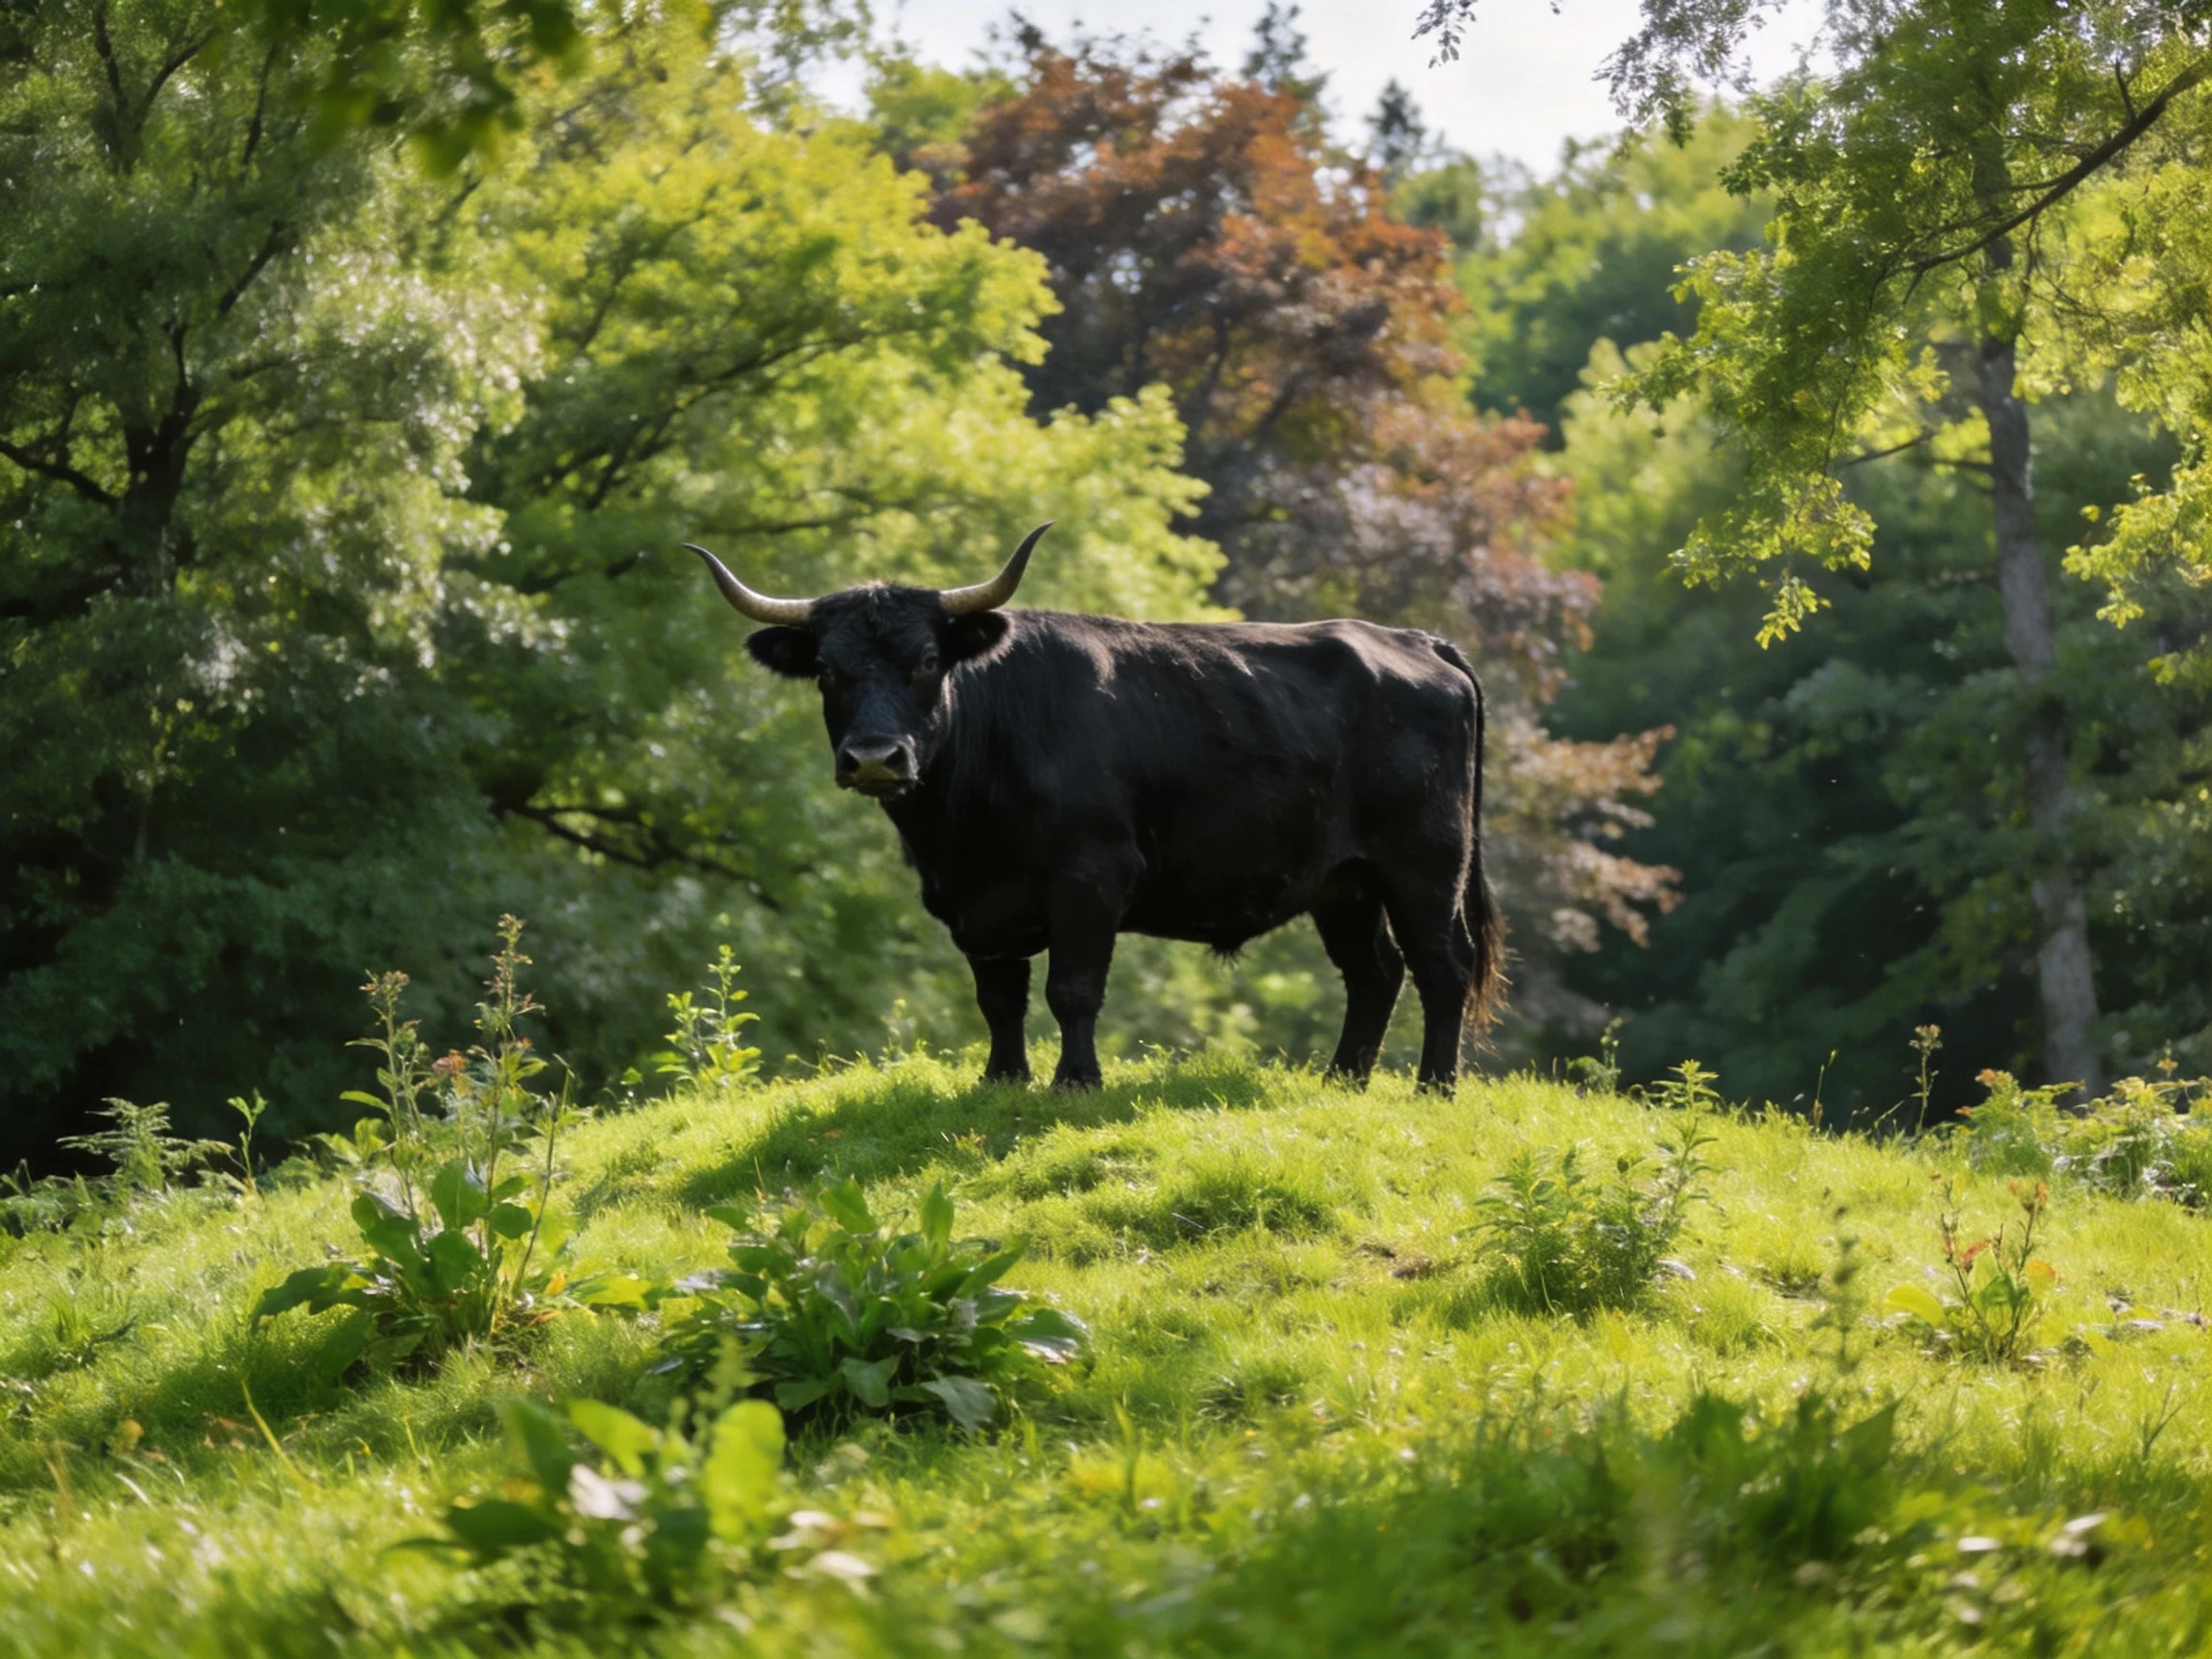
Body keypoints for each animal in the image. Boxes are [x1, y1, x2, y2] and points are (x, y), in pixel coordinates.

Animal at [686, 524, 1502, 1091]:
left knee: (1442, 964)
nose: (875, 758)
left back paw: (1435, 1087)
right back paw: (1341, 1081)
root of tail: (1411, 639)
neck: (958, 831)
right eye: (827, 669)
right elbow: (999, 997)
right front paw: (1002, 1079)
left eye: (928, 660)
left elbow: (1071, 989)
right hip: (1344, 882)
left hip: (1426, 862)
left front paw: (1076, 1081)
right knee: (1375, 971)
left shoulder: (1091, 877)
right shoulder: (974, 903)